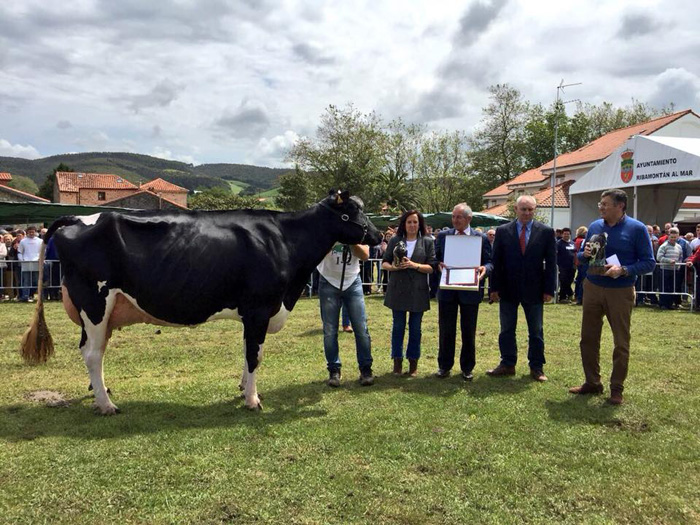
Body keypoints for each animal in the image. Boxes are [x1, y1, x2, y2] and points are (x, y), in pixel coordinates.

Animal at [21, 188, 380, 414]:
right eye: (351, 213)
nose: (376, 236)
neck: (284, 240)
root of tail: (77, 218)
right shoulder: (259, 308)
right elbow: (255, 354)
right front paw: (252, 400)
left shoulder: (255, 313)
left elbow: (249, 352)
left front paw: (243, 388)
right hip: (95, 302)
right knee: (93, 354)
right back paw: (108, 406)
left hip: (104, 311)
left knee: (92, 352)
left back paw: (102, 394)